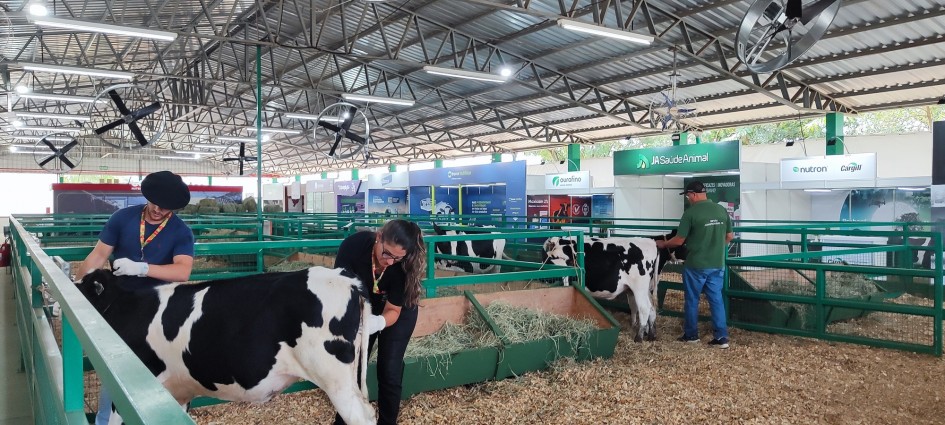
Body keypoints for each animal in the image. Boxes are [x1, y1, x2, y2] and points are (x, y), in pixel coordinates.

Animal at [543, 233, 686, 343]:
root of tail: (650, 242)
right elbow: (633, 306)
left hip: (639, 287)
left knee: (644, 308)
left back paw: (639, 337)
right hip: (644, 289)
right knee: (651, 308)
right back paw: (651, 335)